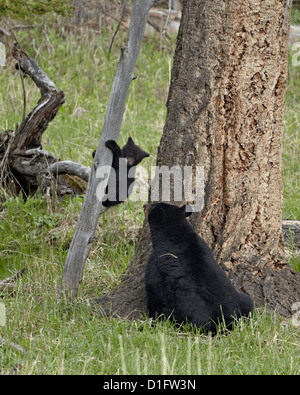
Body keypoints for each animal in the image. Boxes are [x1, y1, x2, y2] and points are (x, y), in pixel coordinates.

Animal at [145, 203, 253, 332]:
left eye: (152, 206)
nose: (144, 205)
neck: (174, 234)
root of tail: (226, 322)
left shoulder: (155, 265)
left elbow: (153, 295)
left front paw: (151, 320)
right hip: (242, 300)